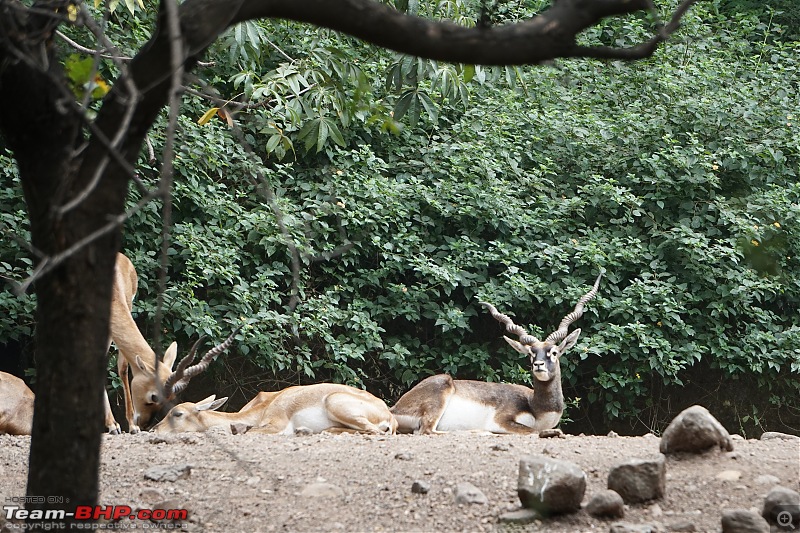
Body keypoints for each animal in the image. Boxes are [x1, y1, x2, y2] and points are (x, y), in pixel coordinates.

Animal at [388, 276, 600, 434]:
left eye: (554, 352)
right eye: (531, 353)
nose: (538, 365)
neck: (535, 407)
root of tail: (394, 408)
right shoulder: (502, 420)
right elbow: (533, 431)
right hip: (441, 390)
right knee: (427, 430)